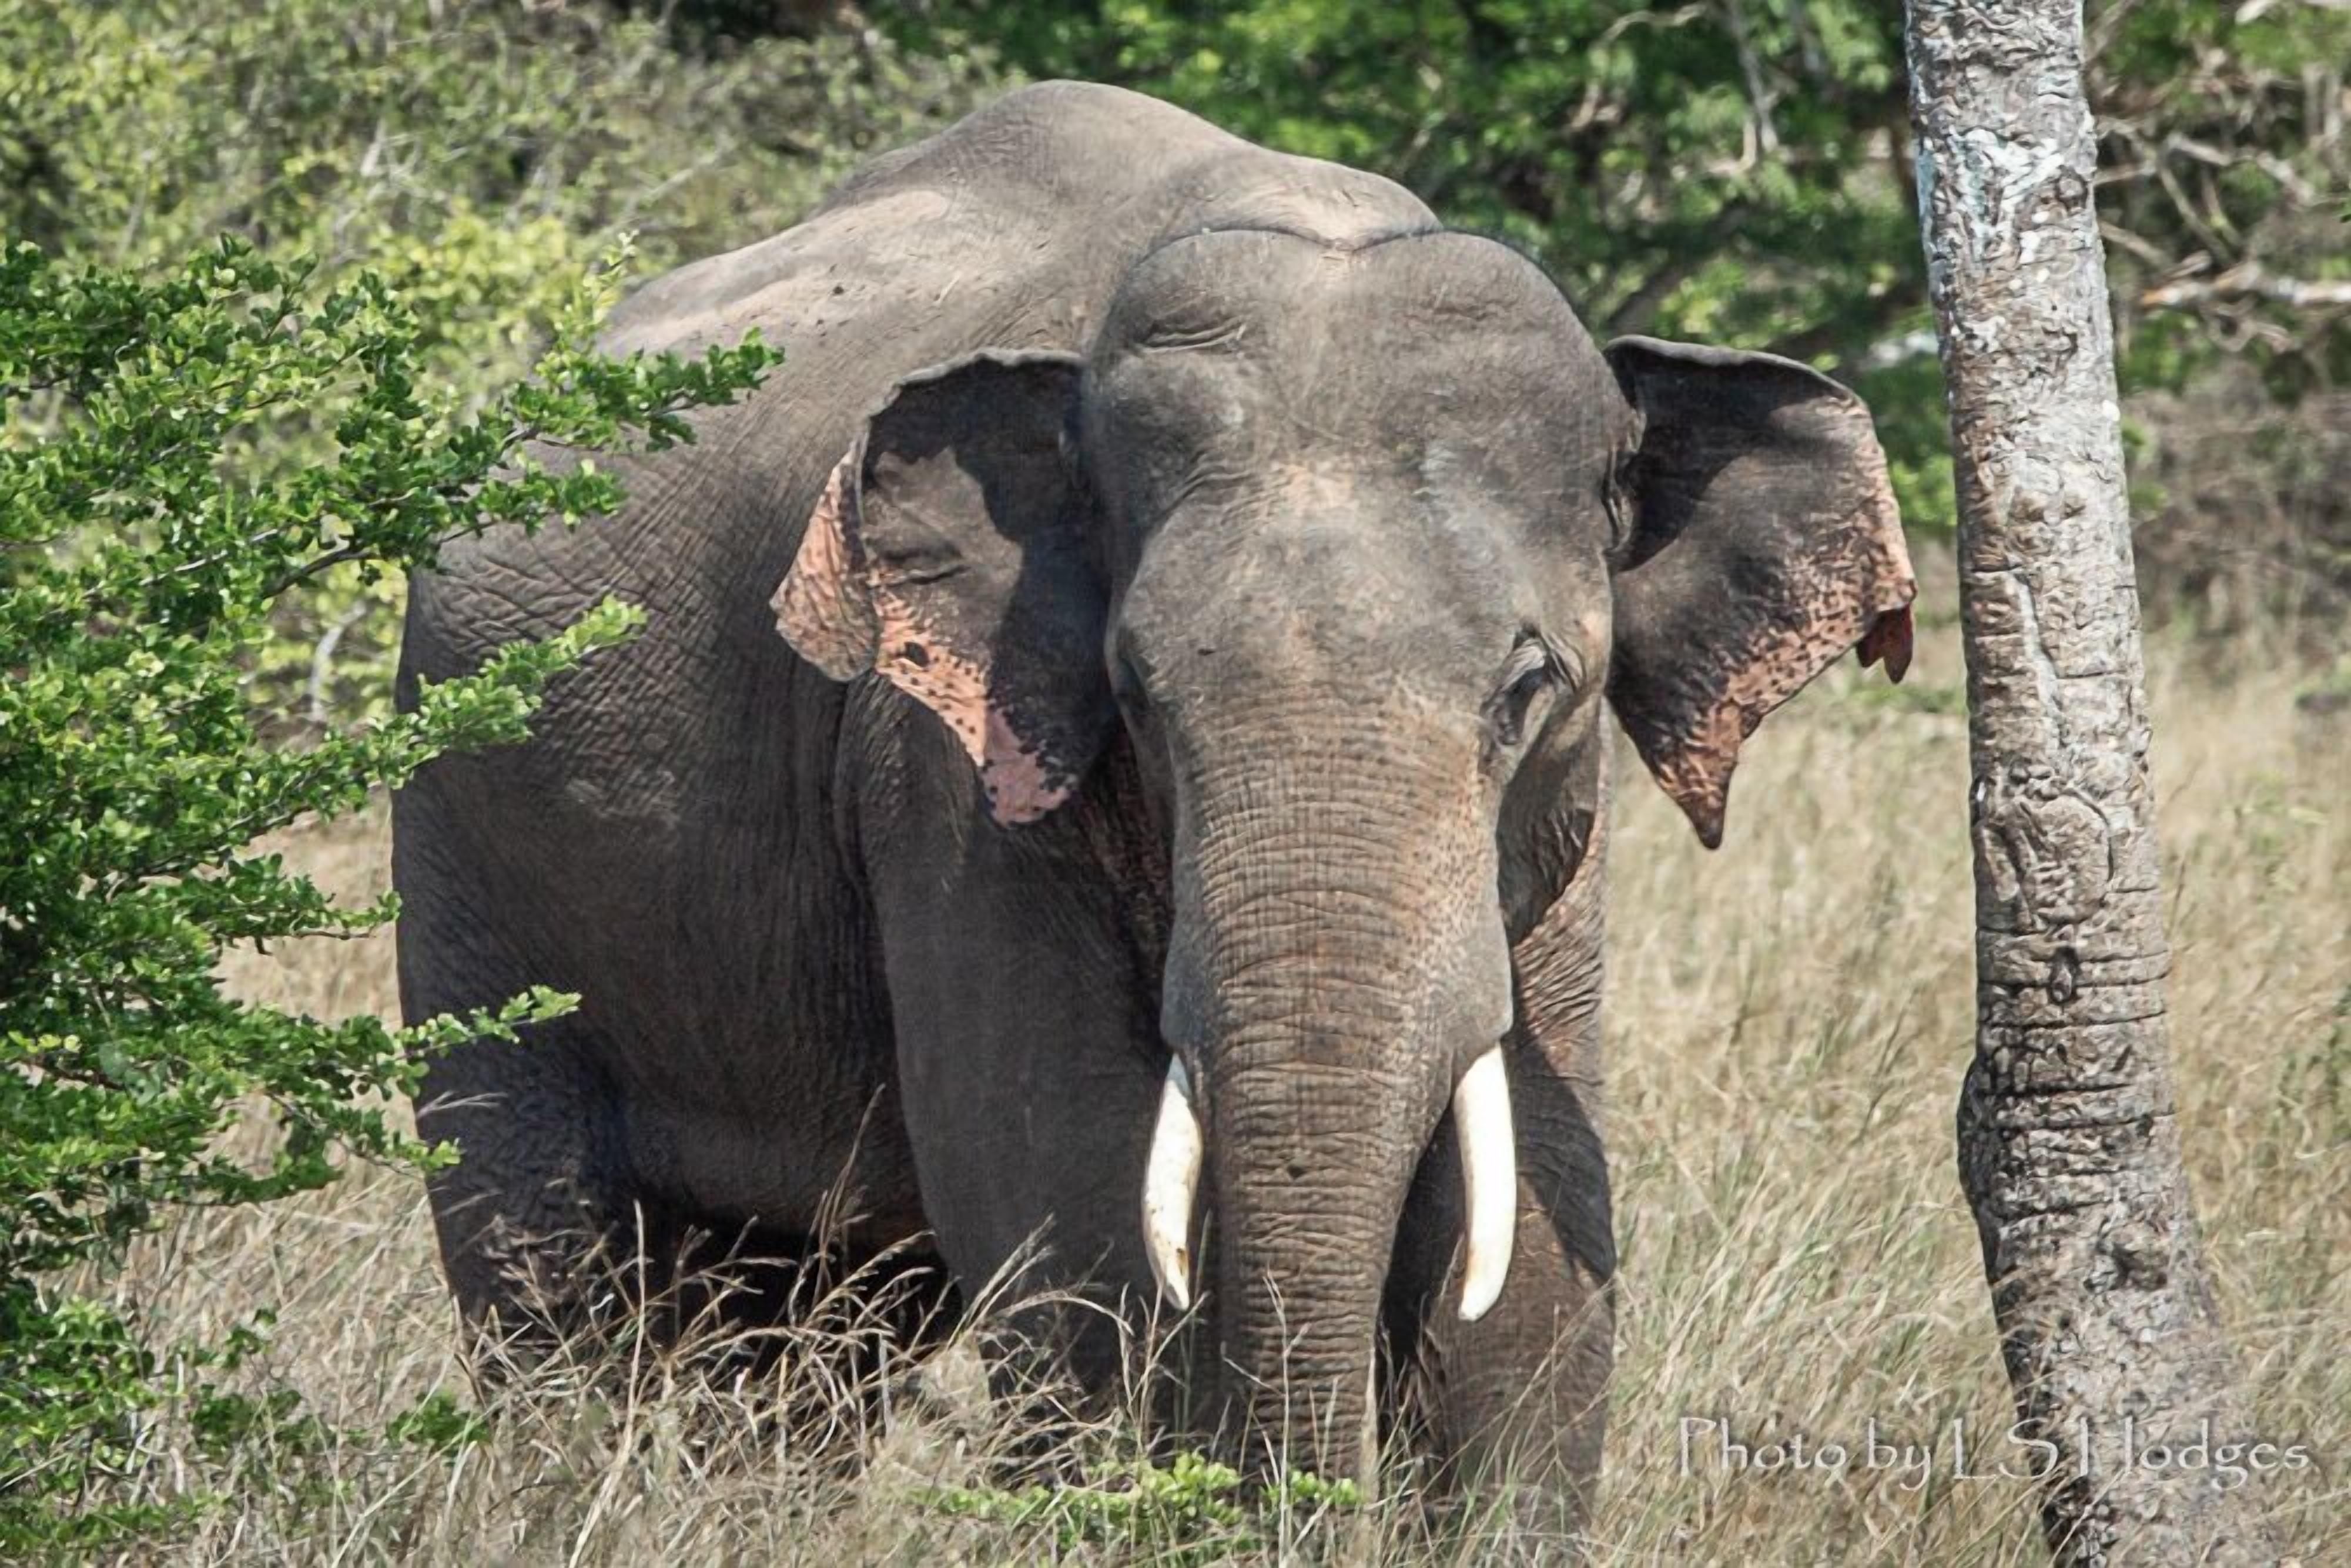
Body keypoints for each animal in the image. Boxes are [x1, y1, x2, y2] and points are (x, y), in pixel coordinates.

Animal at [393, 79, 1916, 1531]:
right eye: (1136, 690)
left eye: (1529, 685)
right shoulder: (945, 770)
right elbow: (1071, 1209)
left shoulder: (1555, 838)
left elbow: (1537, 1243)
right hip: (464, 840)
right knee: (543, 1270)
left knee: (809, 1326)